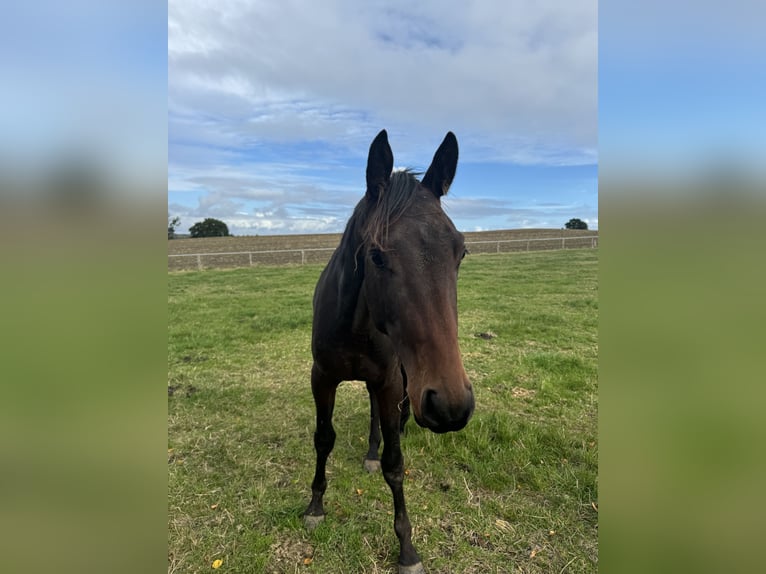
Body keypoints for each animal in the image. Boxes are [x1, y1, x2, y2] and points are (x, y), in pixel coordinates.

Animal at [304, 132, 474, 574]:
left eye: (460, 252)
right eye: (376, 255)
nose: (451, 405)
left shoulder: (391, 381)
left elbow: (395, 465)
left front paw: (407, 549)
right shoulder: (322, 378)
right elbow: (323, 439)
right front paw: (315, 506)